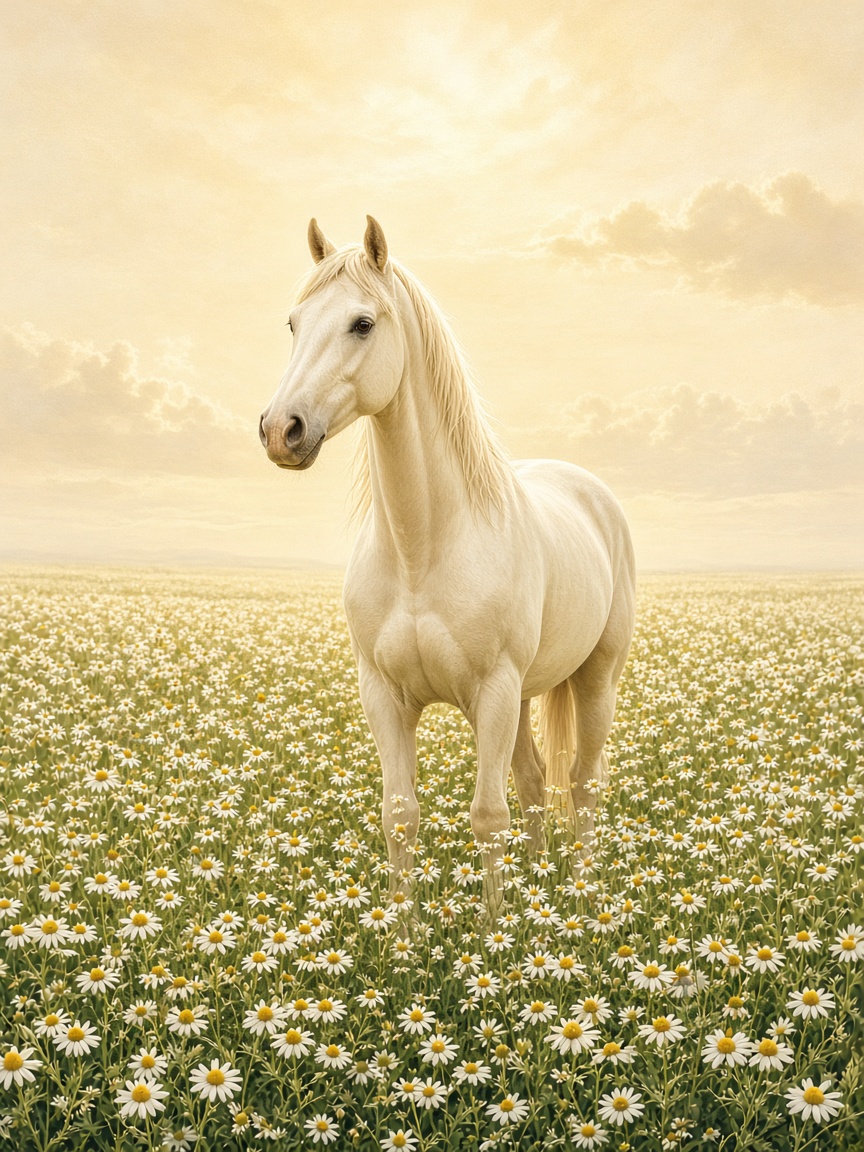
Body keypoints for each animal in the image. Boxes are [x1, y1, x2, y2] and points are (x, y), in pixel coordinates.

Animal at [259, 216, 635, 911]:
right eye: (294, 323)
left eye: (362, 323)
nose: (281, 430)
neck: (421, 549)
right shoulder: (384, 696)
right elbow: (401, 816)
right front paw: (403, 932)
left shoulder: (493, 692)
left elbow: (488, 817)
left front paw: (494, 931)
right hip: (528, 692)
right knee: (536, 782)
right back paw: (538, 890)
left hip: (595, 678)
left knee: (583, 785)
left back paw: (582, 899)